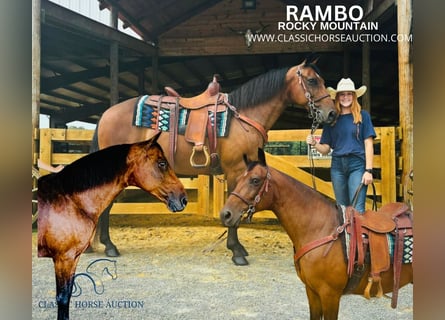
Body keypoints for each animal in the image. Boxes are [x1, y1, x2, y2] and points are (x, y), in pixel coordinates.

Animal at [36, 134, 186, 318]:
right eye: (162, 163)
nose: (183, 199)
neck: (70, 200)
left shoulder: (72, 259)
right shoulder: (64, 258)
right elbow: (63, 298)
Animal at [94, 55, 336, 264]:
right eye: (312, 80)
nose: (332, 113)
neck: (243, 118)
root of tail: (107, 114)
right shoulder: (236, 170)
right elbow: (233, 208)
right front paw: (236, 251)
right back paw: (109, 246)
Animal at [220, 149, 412, 318]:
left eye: (255, 180)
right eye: (239, 179)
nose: (226, 214)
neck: (320, 229)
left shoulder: (330, 295)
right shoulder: (312, 292)